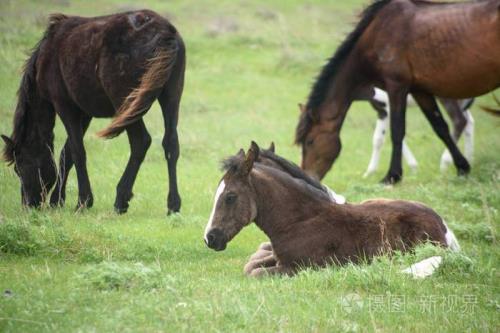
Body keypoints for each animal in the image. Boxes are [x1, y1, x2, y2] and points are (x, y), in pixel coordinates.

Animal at [1, 10, 186, 214]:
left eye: (20, 167)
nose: (28, 205)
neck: (48, 54)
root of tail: (164, 32)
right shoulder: (84, 112)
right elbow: (66, 154)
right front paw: (57, 199)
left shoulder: (65, 106)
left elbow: (77, 151)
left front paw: (82, 201)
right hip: (170, 97)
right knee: (170, 143)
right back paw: (173, 205)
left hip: (125, 101)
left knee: (140, 141)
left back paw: (121, 199)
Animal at [202, 141, 458, 276]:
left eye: (230, 197)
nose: (210, 238)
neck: (298, 220)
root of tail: (444, 227)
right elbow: (252, 264)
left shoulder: (298, 267)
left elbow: (253, 272)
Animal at [294, 0, 498, 183]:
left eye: (309, 141)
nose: (307, 176)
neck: (376, 36)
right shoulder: (419, 91)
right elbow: (440, 127)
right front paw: (462, 167)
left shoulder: (396, 88)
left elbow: (397, 131)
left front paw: (392, 176)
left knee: (461, 121)